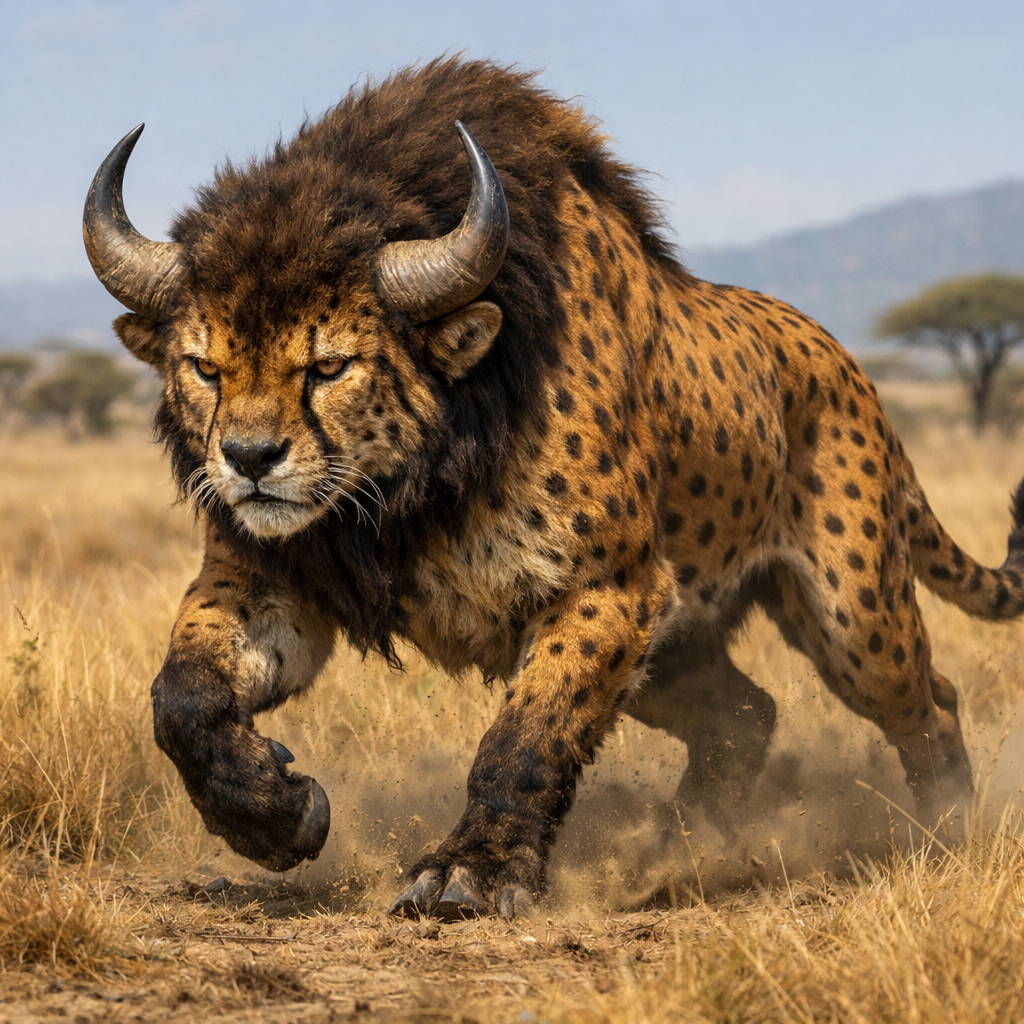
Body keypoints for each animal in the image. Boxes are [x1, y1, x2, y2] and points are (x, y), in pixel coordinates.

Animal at [82, 58, 1024, 921]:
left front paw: (472, 871)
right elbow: (184, 698)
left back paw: (942, 830)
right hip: (676, 652)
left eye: (328, 366)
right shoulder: (271, 578)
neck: (406, 493)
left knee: (927, 702)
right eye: (205, 367)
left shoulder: (608, 587)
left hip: (849, 618)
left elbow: (527, 735)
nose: (248, 458)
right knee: (746, 714)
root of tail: (847, 364)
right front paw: (274, 816)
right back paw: (682, 846)